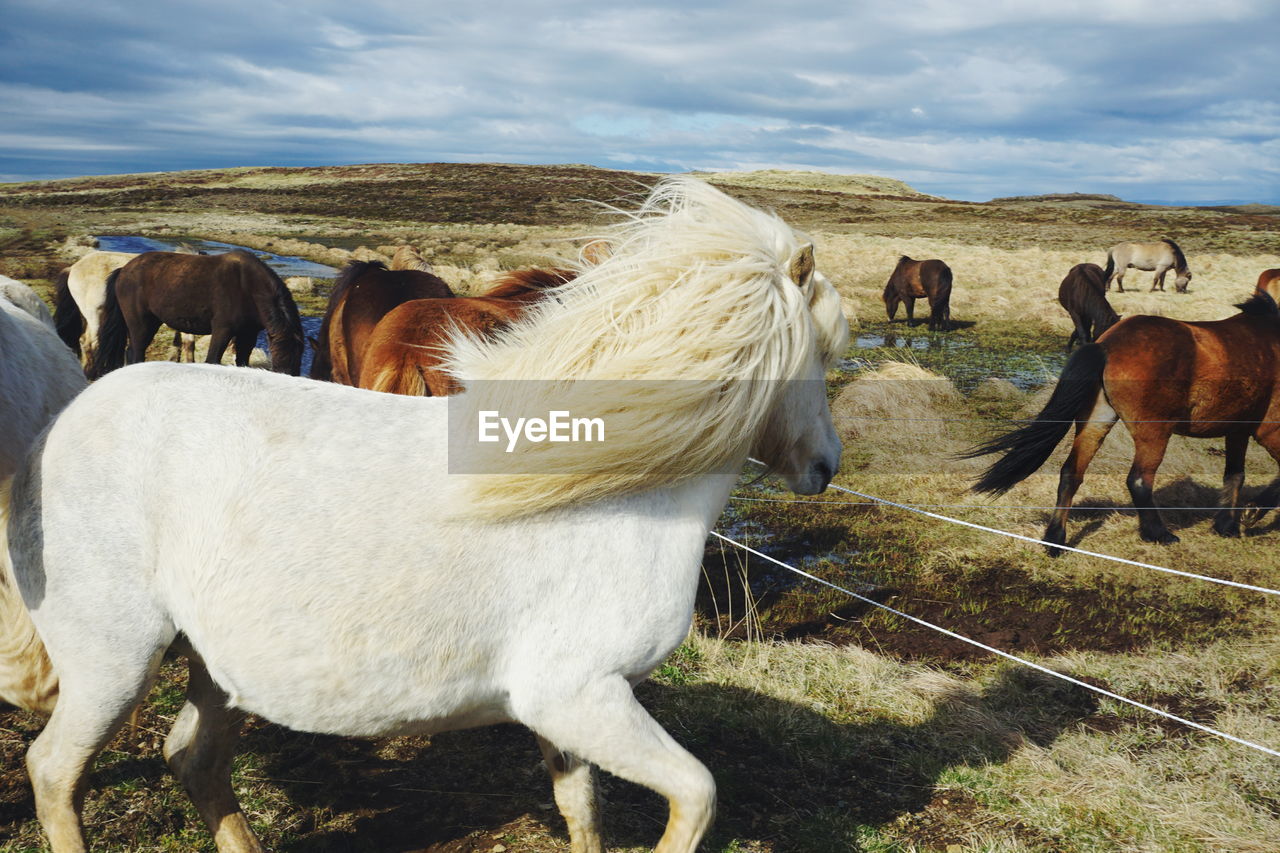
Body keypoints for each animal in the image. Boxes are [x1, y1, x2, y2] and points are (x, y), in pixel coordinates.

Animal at [90, 249, 304, 376]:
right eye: (280, 359)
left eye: (299, 358)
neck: (248, 286)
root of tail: (123, 270)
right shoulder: (222, 330)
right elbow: (212, 360)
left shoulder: (248, 333)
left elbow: (242, 361)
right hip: (140, 324)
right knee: (136, 352)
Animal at [967, 286, 1280, 550]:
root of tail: (1106, 345)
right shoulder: (1269, 431)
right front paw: (1251, 512)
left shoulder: (1238, 430)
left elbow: (1235, 475)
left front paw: (1228, 525)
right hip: (1154, 432)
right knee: (1139, 480)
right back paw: (1159, 534)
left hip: (1096, 422)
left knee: (1071, 473)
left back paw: (1055, 540)